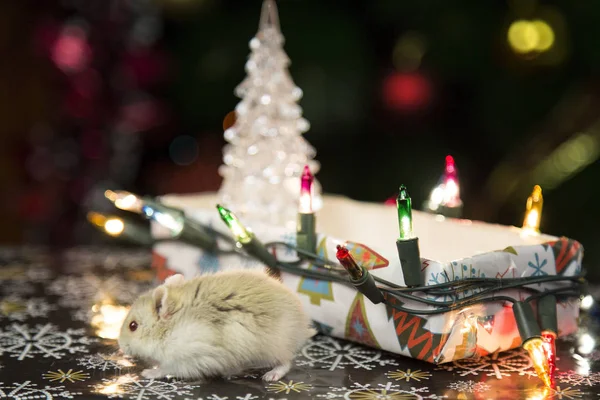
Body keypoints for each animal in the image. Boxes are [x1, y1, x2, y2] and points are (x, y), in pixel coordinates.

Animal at [116, 268, 314, 382]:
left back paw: (269, 377)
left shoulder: (189, 358)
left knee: (286, 363)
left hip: (273, 349)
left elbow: (166, 369)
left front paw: (147, 373)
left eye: (133, 326)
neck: (170, 328)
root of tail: (303, 328)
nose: (120, 346)